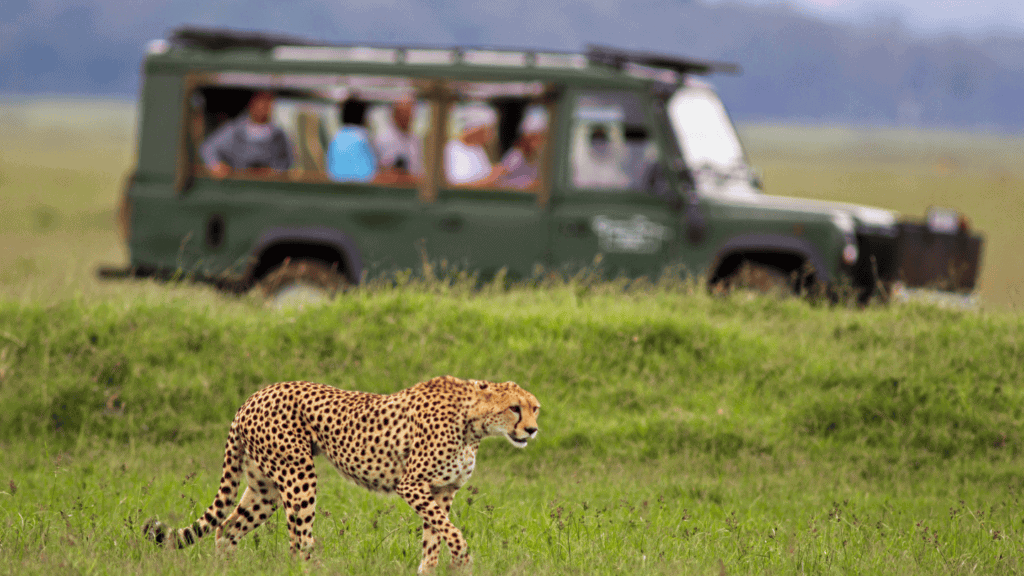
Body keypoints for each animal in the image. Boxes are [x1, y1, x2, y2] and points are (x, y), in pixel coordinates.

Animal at [142, 375, 540, 574]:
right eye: (514, 408)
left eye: (534, 408)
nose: (533, 430)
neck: (474, 421)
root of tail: (252, 397)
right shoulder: (412, 485)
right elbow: (452, 533)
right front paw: (463, 561)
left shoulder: (442, 491)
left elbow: (434, 539)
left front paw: (433, 568)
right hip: (298, 475)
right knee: (298, 543)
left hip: (265, 488)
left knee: (226, 530)